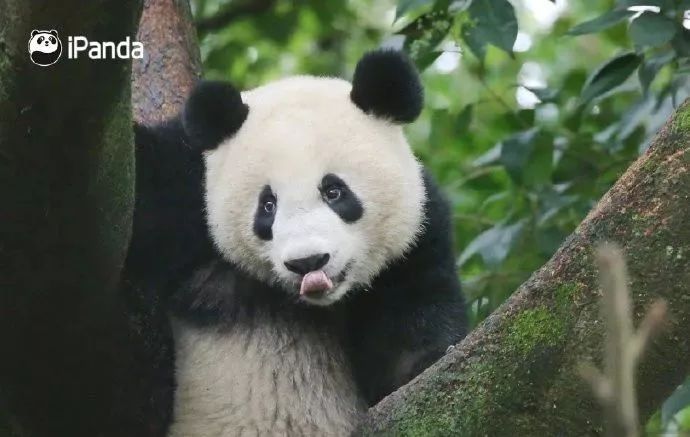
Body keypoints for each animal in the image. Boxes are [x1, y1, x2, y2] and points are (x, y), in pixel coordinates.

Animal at [126, 49, 464, 434]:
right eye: (268, 205)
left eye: (334, 191)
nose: (308, 262)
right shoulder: (184, 191)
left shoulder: (415, 241)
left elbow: (409, 336)